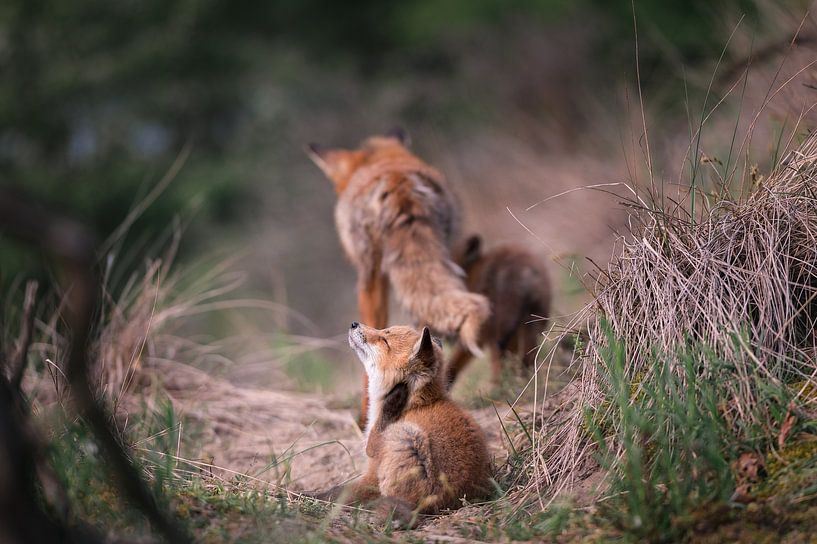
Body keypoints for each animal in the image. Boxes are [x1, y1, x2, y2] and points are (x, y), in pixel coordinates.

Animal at [316, 322, 492, 527]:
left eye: (384, 340)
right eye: (383, 330)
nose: (354, 324)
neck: (413, 404)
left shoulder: (373, 461)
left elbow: (338, 492)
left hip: (404, 437)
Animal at [447, 235, 551, 387]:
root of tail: (525, 271)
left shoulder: (480, 332)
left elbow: (454, 362)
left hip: (499, 330)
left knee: (499, 364)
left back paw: (497, 387)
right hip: (531, 324)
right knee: (526, 360)